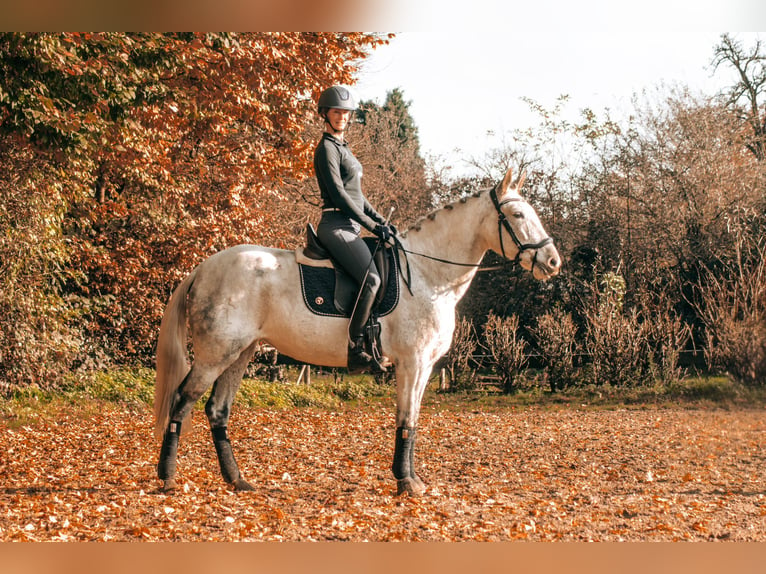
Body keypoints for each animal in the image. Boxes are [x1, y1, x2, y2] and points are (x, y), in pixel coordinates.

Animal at [154, 169, 564, 498]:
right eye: (517, 215)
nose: (553, 262)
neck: (428, 275)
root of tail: (203, 267)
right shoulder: (413, 362)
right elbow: (406, 418)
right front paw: (406, 482)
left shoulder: (426, 366)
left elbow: (413, 418)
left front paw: (411, 479)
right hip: (215, 354)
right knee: (182, 401)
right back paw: (168, 478)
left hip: (240, 353)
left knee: (217, 410)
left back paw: (237, 481)